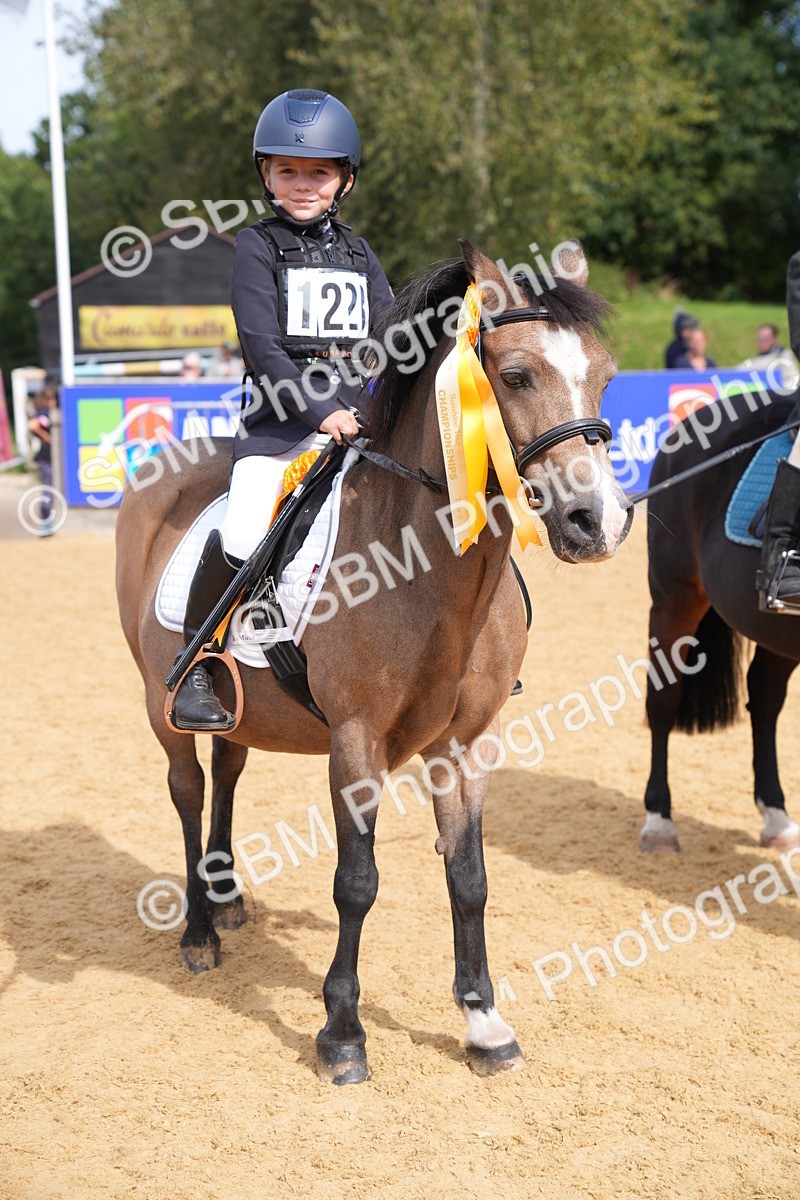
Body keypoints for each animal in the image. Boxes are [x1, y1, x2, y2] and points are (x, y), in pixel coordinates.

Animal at [116, 240, 633, 1084]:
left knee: (227, 770)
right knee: (188, 791)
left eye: (607, 376)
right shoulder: (356, 742)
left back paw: (226, 896)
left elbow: (470, 878)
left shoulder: (465, 745)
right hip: (160, 705)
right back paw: (198, 930)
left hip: (241, 708)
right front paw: (342, 1032)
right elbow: (356, 883)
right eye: (516, 375)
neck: (428, 570)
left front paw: (484, 1024)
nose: (599, 522)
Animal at [642, 385, 800, 854]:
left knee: (764, 697)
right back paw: (659, 823)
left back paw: (777, 819)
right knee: (662, 699)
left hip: (773, 628)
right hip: (674, 600)